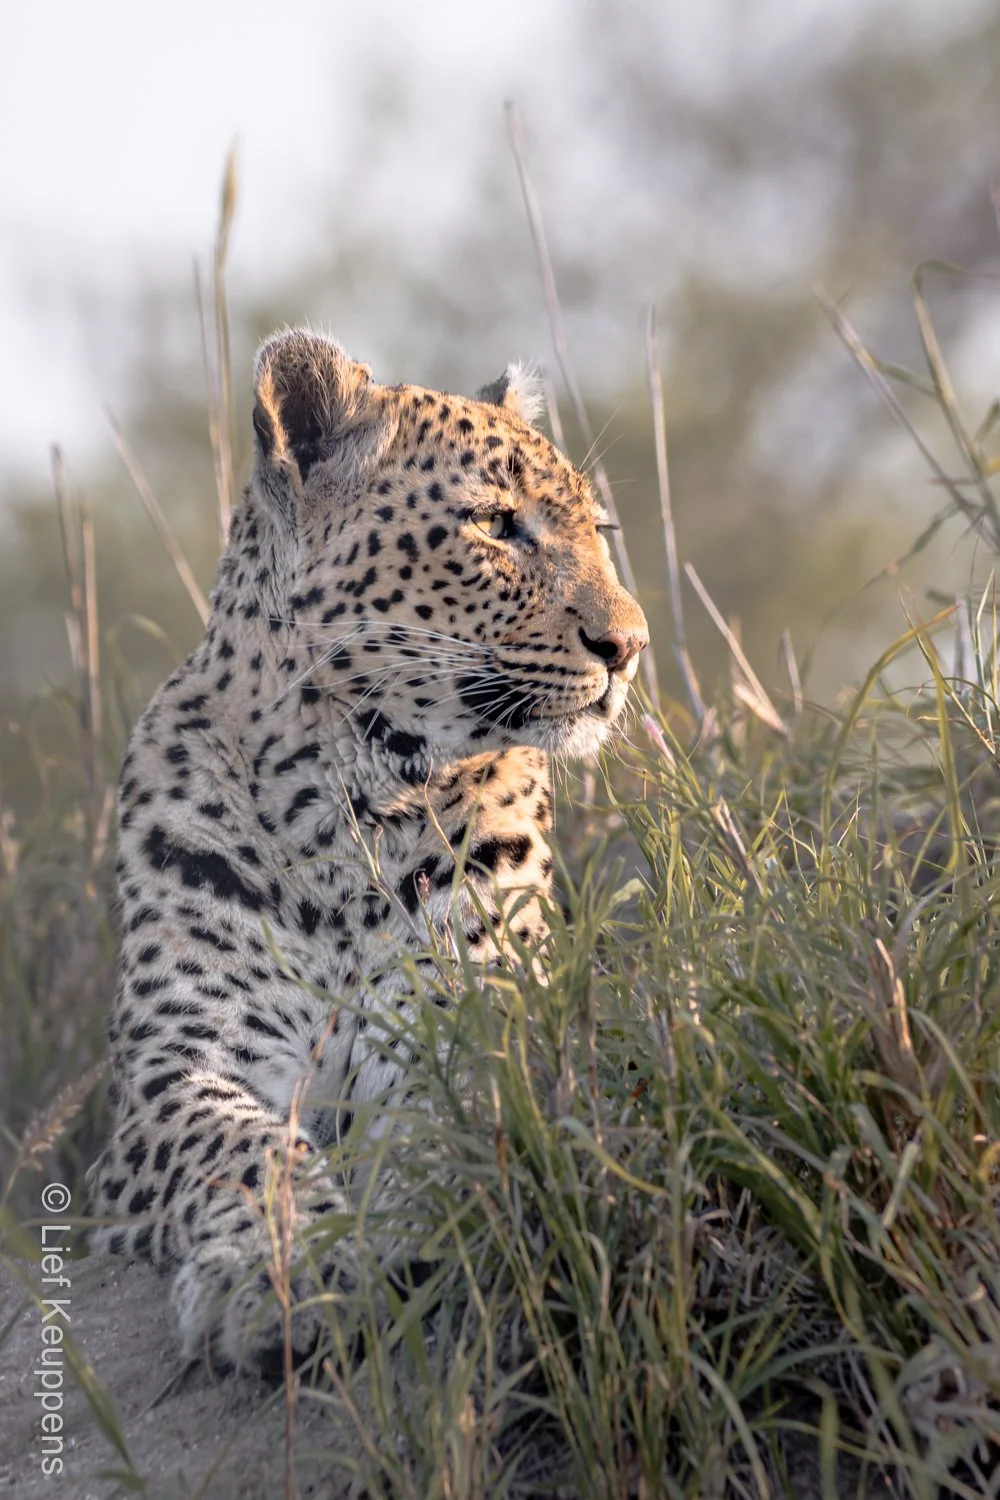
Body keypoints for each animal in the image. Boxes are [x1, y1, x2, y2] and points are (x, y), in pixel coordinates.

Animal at [86, 328, 649, 1372]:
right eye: (495, 524)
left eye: (601, 530)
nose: (629, 646)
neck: (338, 812)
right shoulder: (170, 1077)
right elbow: (236, 1148)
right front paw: (279, 1269)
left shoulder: (473, 1013)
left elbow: (445, 1112)